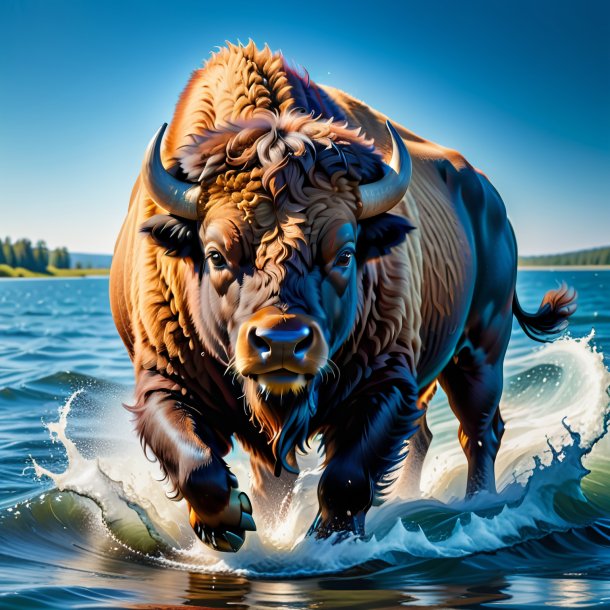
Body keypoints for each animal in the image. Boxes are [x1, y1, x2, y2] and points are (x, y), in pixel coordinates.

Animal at [110, 40, 576, 548]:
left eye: (346, 253)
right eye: (215, 254)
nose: (282, 343)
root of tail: (491, 201)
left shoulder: (384, 379)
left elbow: (347, 476)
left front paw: (325, 540)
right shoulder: (165, 378)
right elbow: (198, 464)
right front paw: (232, 523)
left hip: (481, 349)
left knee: (479, 430)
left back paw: (477, 506)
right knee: (422, 435)